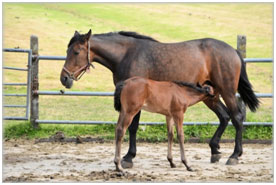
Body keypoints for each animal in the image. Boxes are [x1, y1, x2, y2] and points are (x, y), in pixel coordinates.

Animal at [59, 29, 258, 167]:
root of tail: (233, 50)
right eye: (67, 50)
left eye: (76, 52)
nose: (64, 78)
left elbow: (133, 128)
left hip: (227, 92)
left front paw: (128, 158)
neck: (126, 55)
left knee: (237, 117)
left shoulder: (136, 101)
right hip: (210, 95)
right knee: (224, 117)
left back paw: (234, 156)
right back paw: (215, 151)